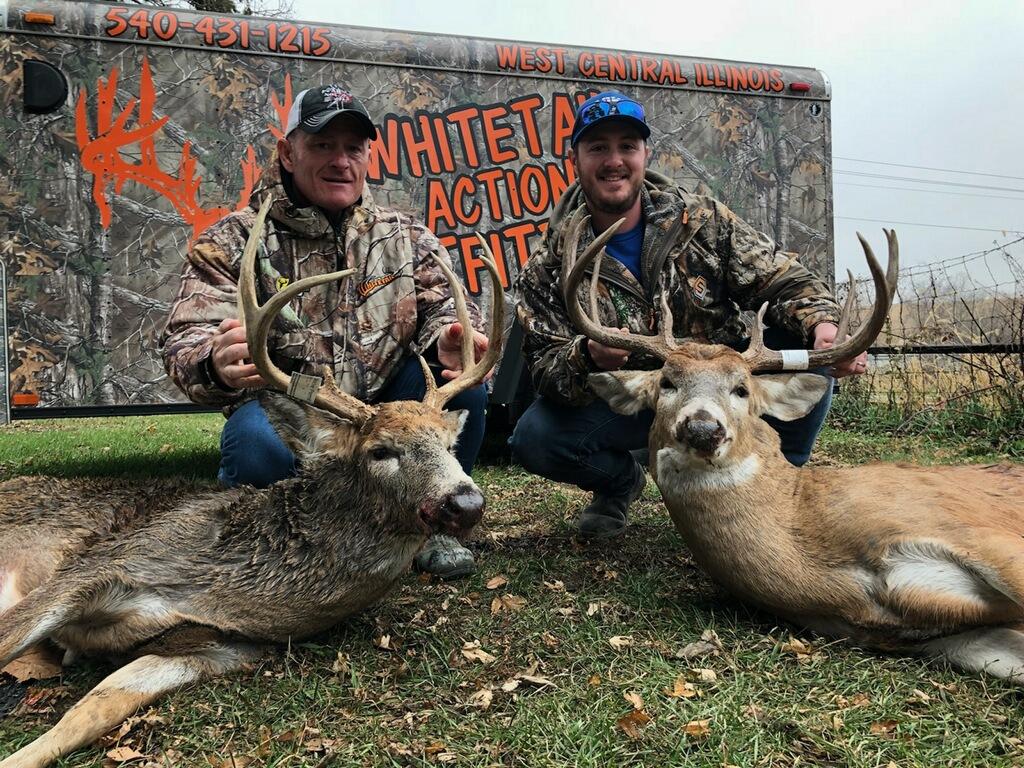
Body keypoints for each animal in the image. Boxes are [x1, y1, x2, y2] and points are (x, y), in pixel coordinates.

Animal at [0, 197, 505, 768]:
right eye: (381, 451)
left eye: (449, 447)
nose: (465, 501)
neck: (225, 590)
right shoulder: (99, 563)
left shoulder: (217, 646)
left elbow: (92, 711)